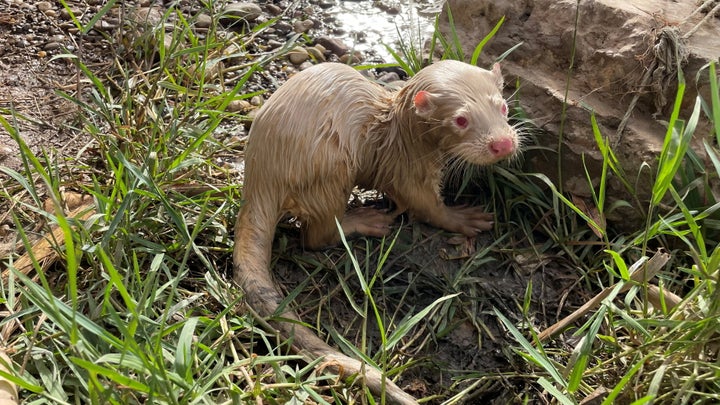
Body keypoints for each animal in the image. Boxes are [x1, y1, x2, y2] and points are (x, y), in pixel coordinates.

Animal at [233, 58, 520, 402]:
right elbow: (425, 205)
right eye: (461, 120)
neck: (404, 138)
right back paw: (366, 220)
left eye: (503, 106)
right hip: (330, 170)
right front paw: (464, 217)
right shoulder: (406, 170)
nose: (502, 144)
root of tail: (260, 175)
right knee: (316, 236)